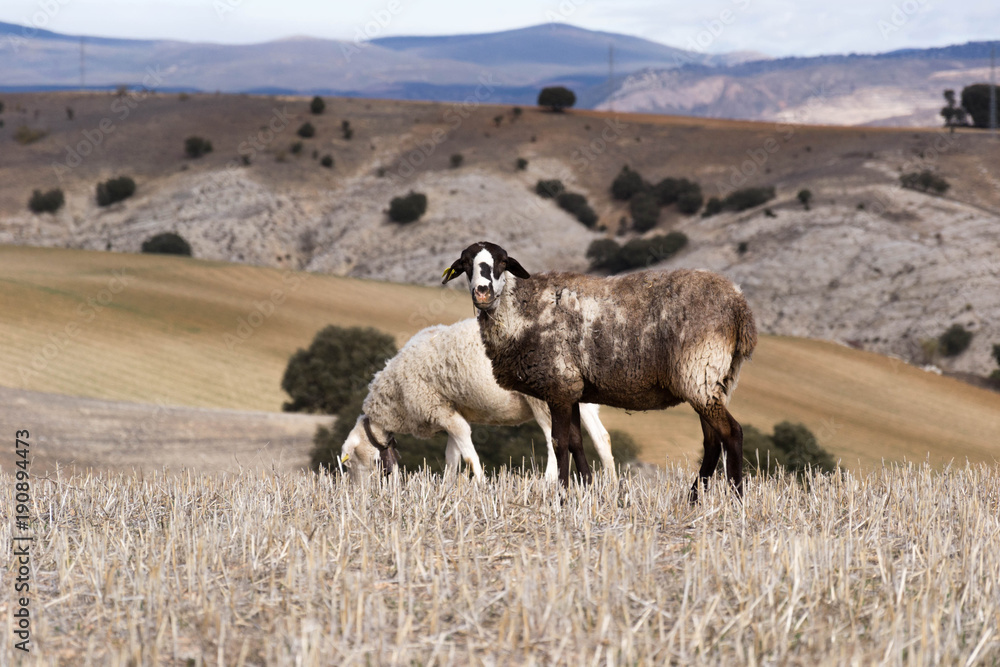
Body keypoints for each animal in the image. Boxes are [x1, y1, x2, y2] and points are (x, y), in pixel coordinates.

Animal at [338, 318, 615, 482]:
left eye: (351, 464)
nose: (362, 494)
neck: (394, 398)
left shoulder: (438, 407)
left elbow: (468, 453)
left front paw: (480, 482)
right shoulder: (449, 412)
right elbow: (452, 455)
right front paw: (448, 486)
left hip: (543, 399)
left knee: (552, 440)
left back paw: (548, 482)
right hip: (580, 399)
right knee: (601, 437)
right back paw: (610, 481)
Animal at [443, 241, 757, 499]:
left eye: (503, 262)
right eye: (466, 263)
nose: (482, 293)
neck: (520, 312)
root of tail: (739, 306)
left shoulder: (558, 385)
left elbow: (559, 443)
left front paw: (563, 495)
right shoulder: (570, 388)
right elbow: (576, 442)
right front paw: (588, 489)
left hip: (700, 372)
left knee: (732, 433)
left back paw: (737, 499)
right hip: (711, 380)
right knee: (713, 441)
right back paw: (693, 499)